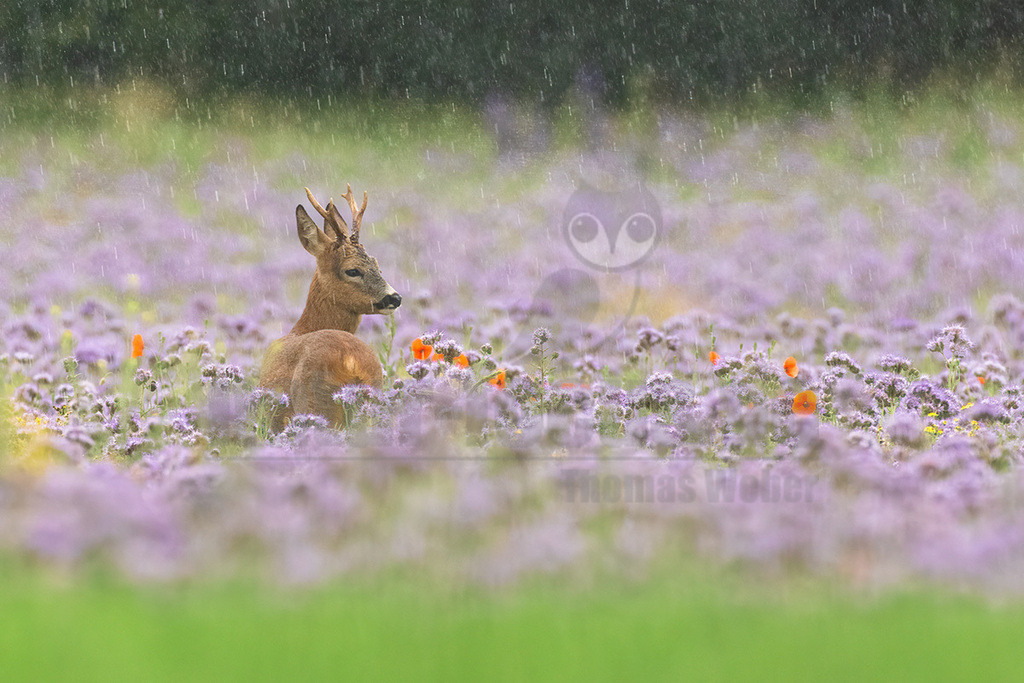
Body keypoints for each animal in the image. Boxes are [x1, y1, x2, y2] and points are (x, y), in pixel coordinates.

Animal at [258, 185, 401, 429]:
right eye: (353, 270)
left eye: (377, 266)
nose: (395, 298)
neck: (303, 328)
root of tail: (351, 362)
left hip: (314, 402)